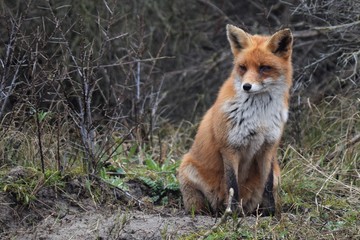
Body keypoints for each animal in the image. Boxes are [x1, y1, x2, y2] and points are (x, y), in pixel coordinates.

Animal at [177, 24, 292, 216]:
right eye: (243, 67)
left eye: (264, 68)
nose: (246, 86)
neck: (259, 116)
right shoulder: (230, 147)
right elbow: (232, 184)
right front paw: (234, 213)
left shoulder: (268, 147)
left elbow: (267, 186)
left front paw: (270, 213)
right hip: (188, 170)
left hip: (277, 173)